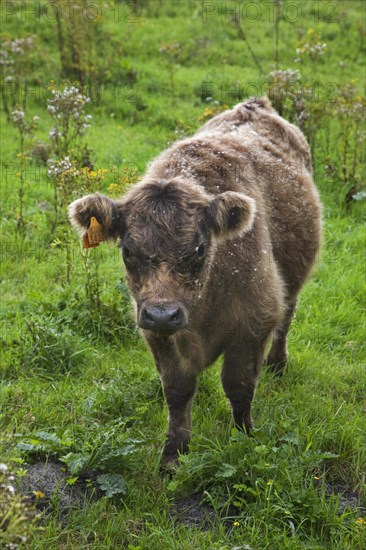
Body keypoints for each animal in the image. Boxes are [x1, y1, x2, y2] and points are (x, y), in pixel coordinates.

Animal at [68, 98, 320, 466]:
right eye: (127, 250)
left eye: (200, 249)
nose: (163, 314)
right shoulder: (156, 333)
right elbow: (178, 390)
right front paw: (173, 454)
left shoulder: (255, 321)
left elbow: (239, 386)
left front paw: (244, 437)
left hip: (290, 285)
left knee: (287, 317)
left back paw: (278, 363)